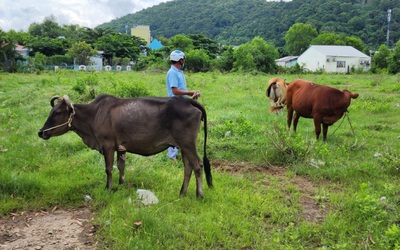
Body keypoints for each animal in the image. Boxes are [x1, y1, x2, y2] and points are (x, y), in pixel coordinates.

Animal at [37, 94, 212, 197]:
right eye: (51, 111)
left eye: (58, 113)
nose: (41, 132)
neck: (93, 115)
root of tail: (188, 101)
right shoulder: (121, 148)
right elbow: (121, 166)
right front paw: (120, 184)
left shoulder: (107, 145)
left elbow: (108, 169)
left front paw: (109, 187)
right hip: (183, 146)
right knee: (188, 167)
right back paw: (182, 192)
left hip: (187, 144)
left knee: (198, 165)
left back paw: (199, 194)